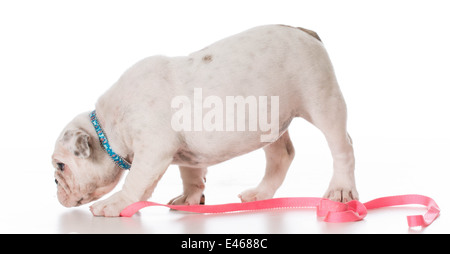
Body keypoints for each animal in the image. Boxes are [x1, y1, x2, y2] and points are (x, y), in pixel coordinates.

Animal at [51, 24, 356, 216]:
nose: (55, 183)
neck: (109, 125)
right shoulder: (186, 154)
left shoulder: (152, 151)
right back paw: (260, 194)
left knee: (343, 147)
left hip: (322, 100)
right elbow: (191, 175)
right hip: (271, 121)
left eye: (61, 166)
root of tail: (306, 32)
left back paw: (341, 190)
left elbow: (136, 180)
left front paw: (116, 204)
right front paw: (190, 199)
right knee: (282, 155)